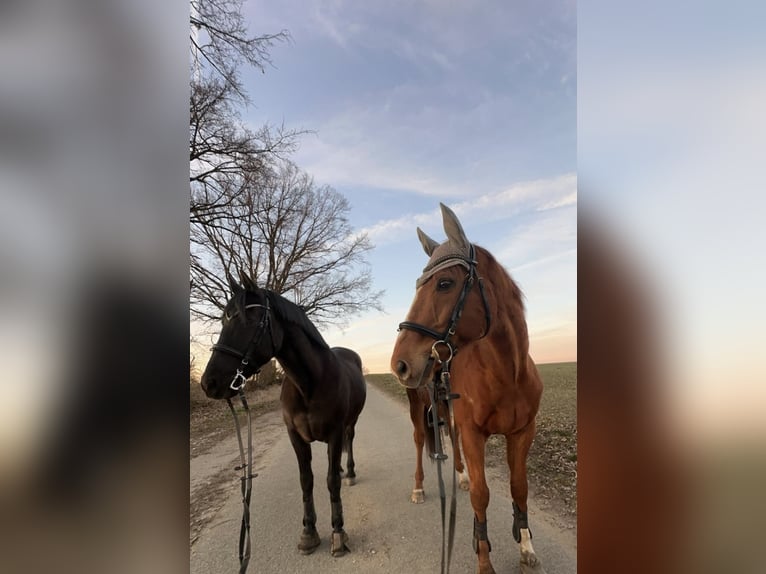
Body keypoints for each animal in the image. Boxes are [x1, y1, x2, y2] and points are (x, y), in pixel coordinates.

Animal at [390, 205, 544, 572]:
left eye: (445, 283)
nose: (400, 363)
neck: (507, 374)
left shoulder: (522, 432)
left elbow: (519, 488)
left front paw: (526, 545)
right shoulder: (476, 434)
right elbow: (480, 495)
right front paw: (484, 560)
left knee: (452, 437)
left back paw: (459, 476)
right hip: (419, 407)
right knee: (420, 440)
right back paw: (419, 488)